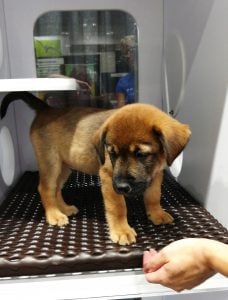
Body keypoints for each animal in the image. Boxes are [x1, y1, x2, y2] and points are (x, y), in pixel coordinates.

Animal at [0, 92, 191, 245]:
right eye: (111, 153)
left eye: (141, 154)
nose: (121, 187)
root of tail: (46, 109)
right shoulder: (108, 177)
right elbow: (118, 207)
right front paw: (121, 230)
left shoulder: (156, 175)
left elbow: (153, 196)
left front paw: (156, 213)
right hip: (50, 162)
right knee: (45, 188)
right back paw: (54, 214)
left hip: (64, 166)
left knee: (56, 189)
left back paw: (64, 208)